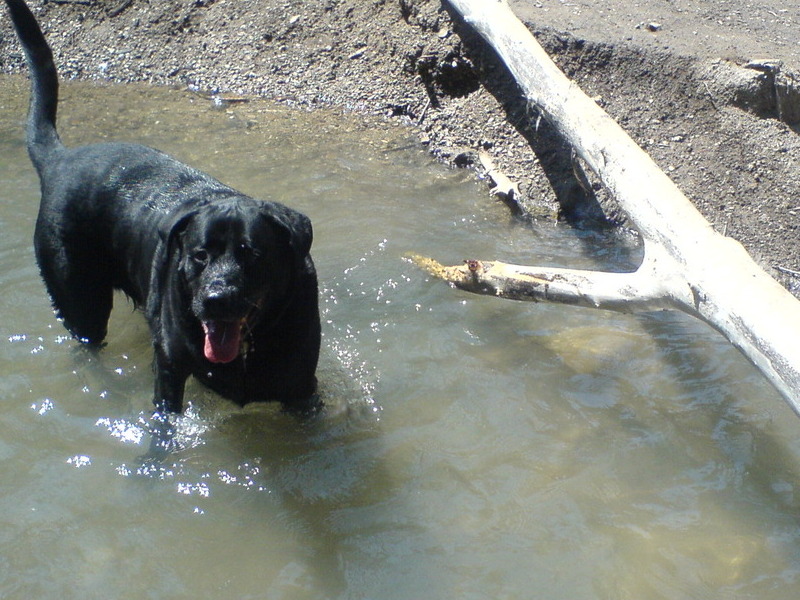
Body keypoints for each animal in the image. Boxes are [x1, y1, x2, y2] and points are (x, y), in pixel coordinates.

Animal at [5, 0, 322, 412]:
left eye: (252, 253)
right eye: (200, 255)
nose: (216, 300)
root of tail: (60, 160)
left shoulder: (303, 390)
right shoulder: (170, 369)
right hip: (80, 299)